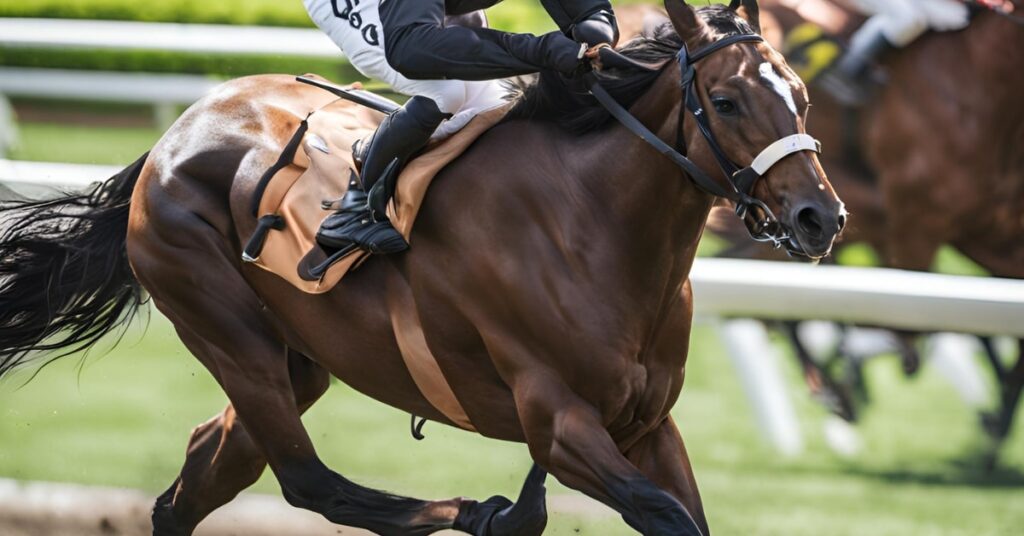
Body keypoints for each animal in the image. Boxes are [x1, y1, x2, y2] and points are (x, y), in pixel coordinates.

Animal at [0, 2, 839, 532]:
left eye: (801, 95)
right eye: (726, 102)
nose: (820, 217)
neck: (592, 223)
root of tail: (171, 139)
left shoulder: (647, 425)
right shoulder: (557, 422)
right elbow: (665, 514)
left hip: (295, 358)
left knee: (201, 474)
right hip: (225, 330)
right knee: (312, 484)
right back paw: (488, 514)